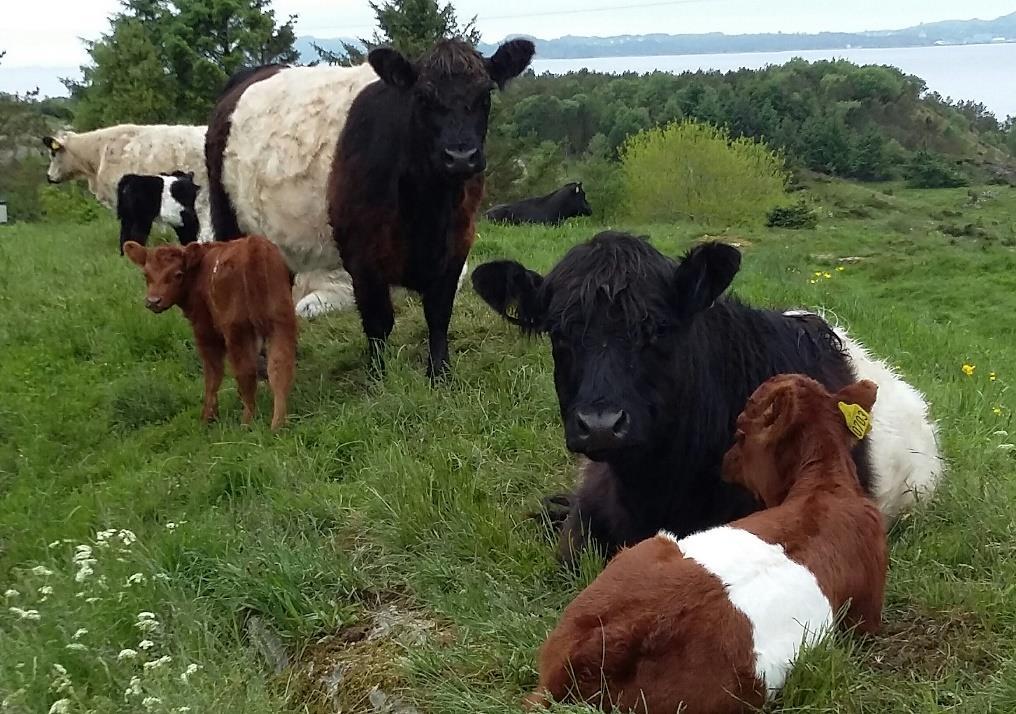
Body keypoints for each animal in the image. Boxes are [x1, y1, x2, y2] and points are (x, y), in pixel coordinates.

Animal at [122, 238, 296, 430]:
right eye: (146, 275)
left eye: (178, 274)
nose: (153, 301)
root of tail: (254, 245)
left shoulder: (205, 331)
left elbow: (213, 374)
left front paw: (208, 417)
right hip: (281, 321)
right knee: (279, 368)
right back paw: (278, 424)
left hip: (237, 330)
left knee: (246, 372)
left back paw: (247, 422)